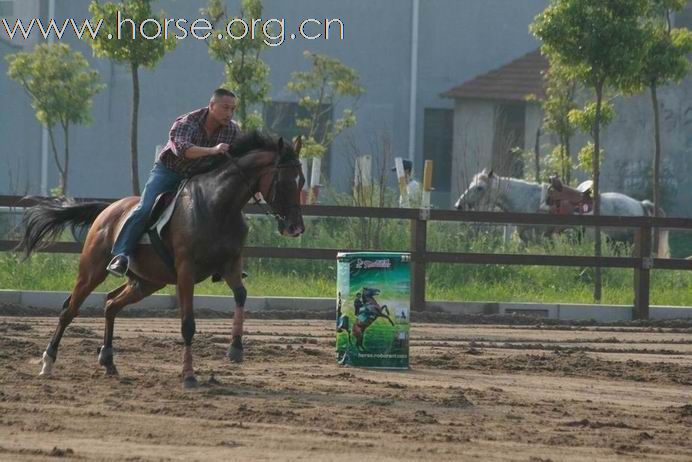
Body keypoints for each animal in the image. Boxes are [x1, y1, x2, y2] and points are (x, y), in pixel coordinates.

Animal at [14, 132, 302, 388]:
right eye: (284, 181)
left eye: (301, 182)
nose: (295, 228)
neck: (217, 206)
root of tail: (107, 210)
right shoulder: (186, 272)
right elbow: (188, 325)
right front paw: (188, 375)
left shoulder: (231, 264)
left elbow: (241, 294)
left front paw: (235, 348)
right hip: (92, 270)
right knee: (69, 309)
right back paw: (48, 361)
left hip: (147, 282)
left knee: (111, 304)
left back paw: (108, 360)